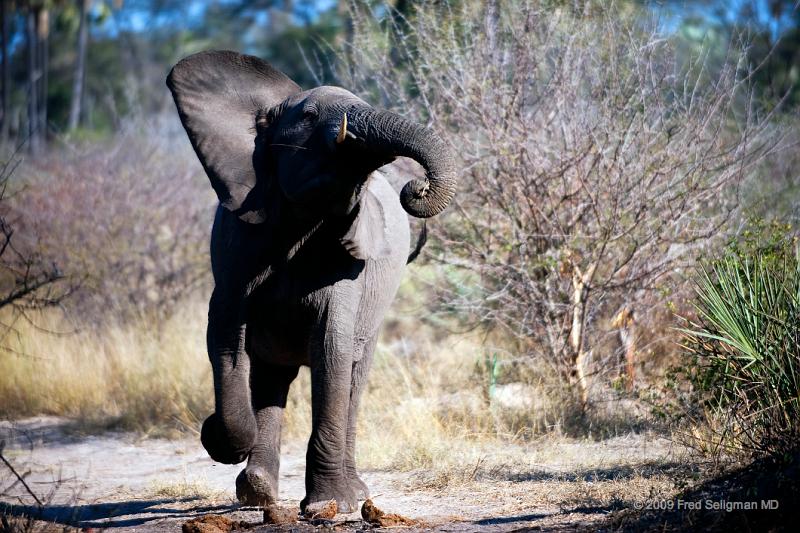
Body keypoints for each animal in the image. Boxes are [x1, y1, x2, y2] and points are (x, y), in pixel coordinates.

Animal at [167, 52, 456, 512]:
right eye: (308, 116)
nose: (416, 186)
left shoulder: (345, 262)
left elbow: (331, 348)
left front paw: (329, 506)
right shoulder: (236, 250)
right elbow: (226, 337)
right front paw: (217, 436)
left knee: (353, 376)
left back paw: (353, 494)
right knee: (270, 378)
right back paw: (257, 493)